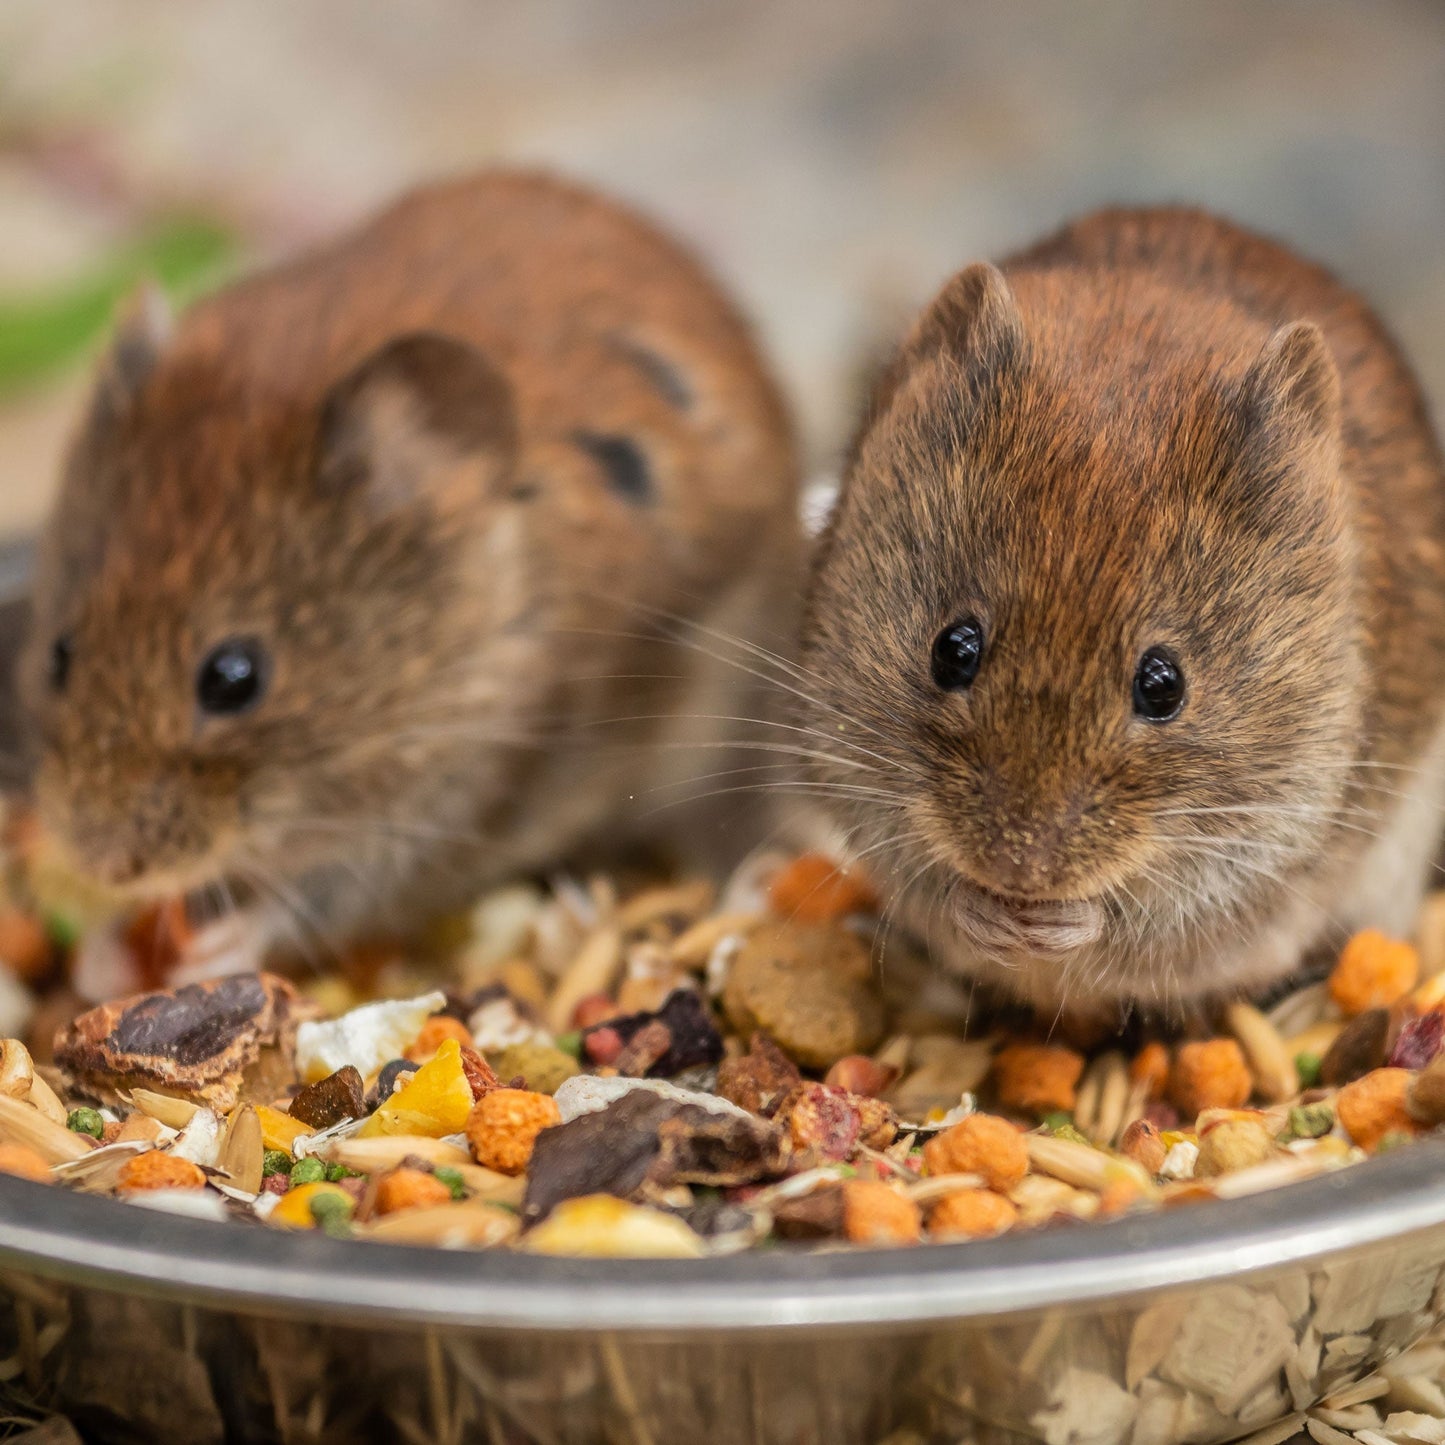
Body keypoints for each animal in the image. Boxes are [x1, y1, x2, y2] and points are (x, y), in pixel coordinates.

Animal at [21, 170, 800, 967]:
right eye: (60, 653)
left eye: (234, 678)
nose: (103, 863)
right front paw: (106, 948)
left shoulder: (453, 800)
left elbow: (313, 896)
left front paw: (216, 948)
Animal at [800, 207, 1445, 1014]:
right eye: (953, 648)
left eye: (1163, 685)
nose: (1019, 871)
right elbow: (931, 883)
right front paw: (986, 912)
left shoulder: (1256, 849)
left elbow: (1126, 924)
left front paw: (1053, 922)